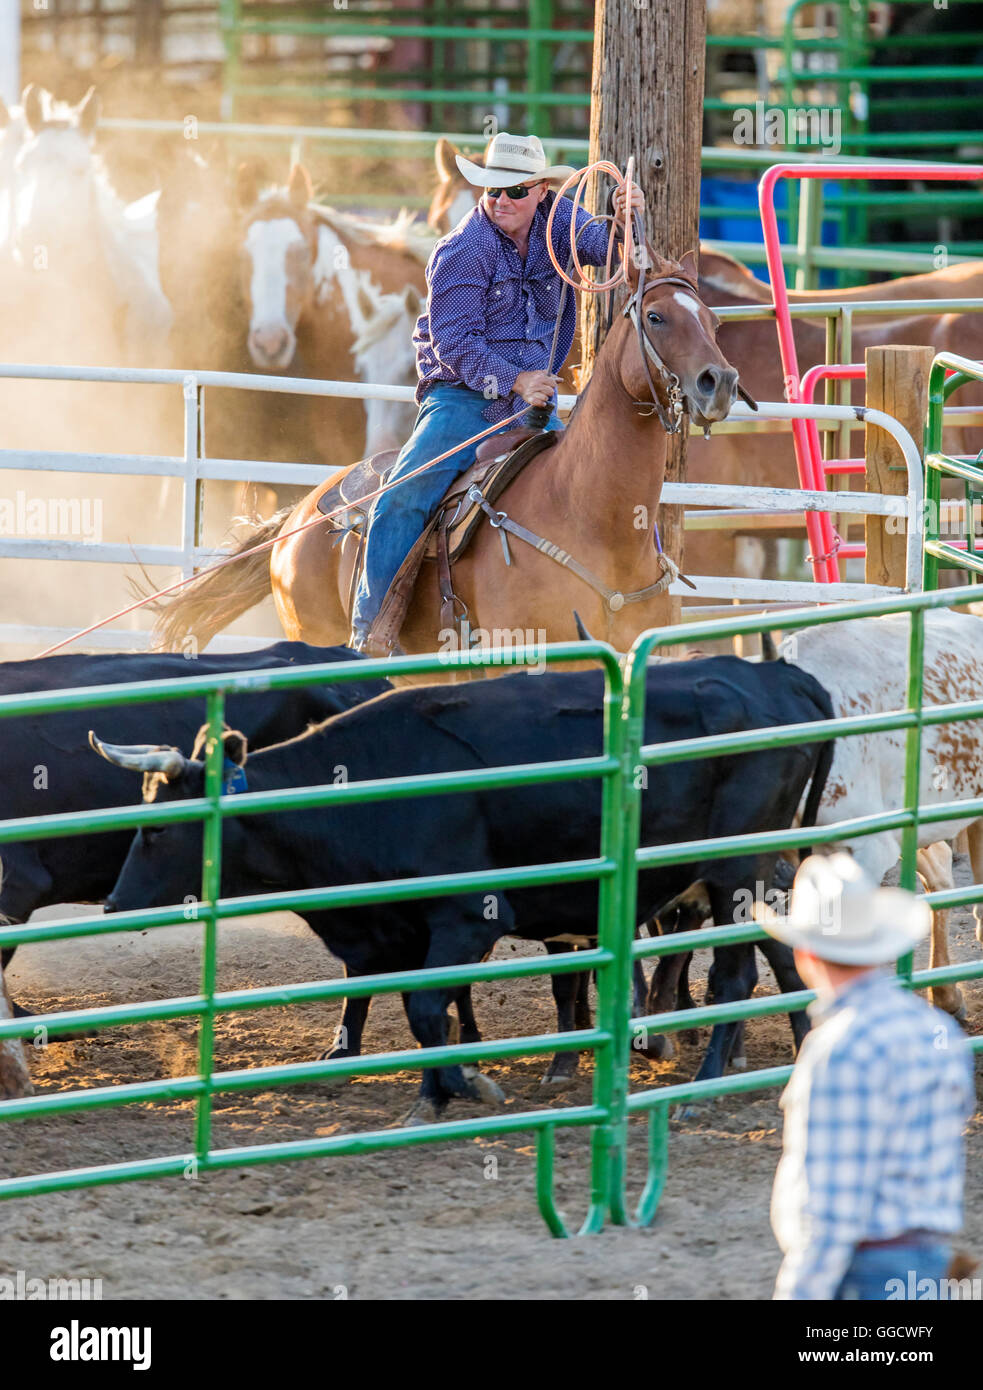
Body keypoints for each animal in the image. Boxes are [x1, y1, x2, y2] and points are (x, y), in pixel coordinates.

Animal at [100, 656, 834, 1123]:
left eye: (160, 828)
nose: (114, 902)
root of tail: (780, 677)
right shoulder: (408, 929)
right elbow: (426, 1008)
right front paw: (435, 1093)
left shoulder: (469, 917)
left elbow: (430, 1009)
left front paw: (470, 1084)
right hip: (761, 870)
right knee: (780, 956)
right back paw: (801, 1057)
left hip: (734, 867)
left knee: (735, 978)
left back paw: (702, 1090)